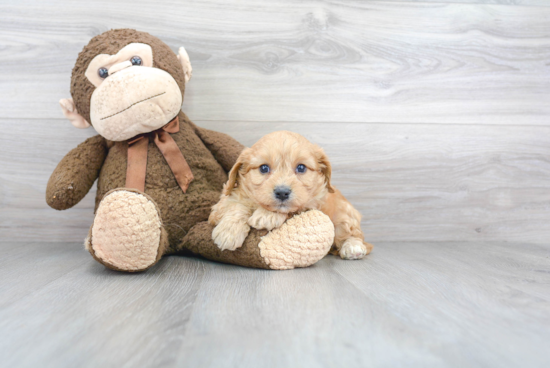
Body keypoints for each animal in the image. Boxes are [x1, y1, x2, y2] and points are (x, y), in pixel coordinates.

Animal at [208, 131, 376, 260]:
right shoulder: (222, 204)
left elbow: (292, 209)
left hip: (344, 214)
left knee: (354, 234)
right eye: (263, 168)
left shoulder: (312, 203)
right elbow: (236, 205)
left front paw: (267, 215)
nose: (282, 192)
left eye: (301, 168)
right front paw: (228, 231)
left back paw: (353, 247)